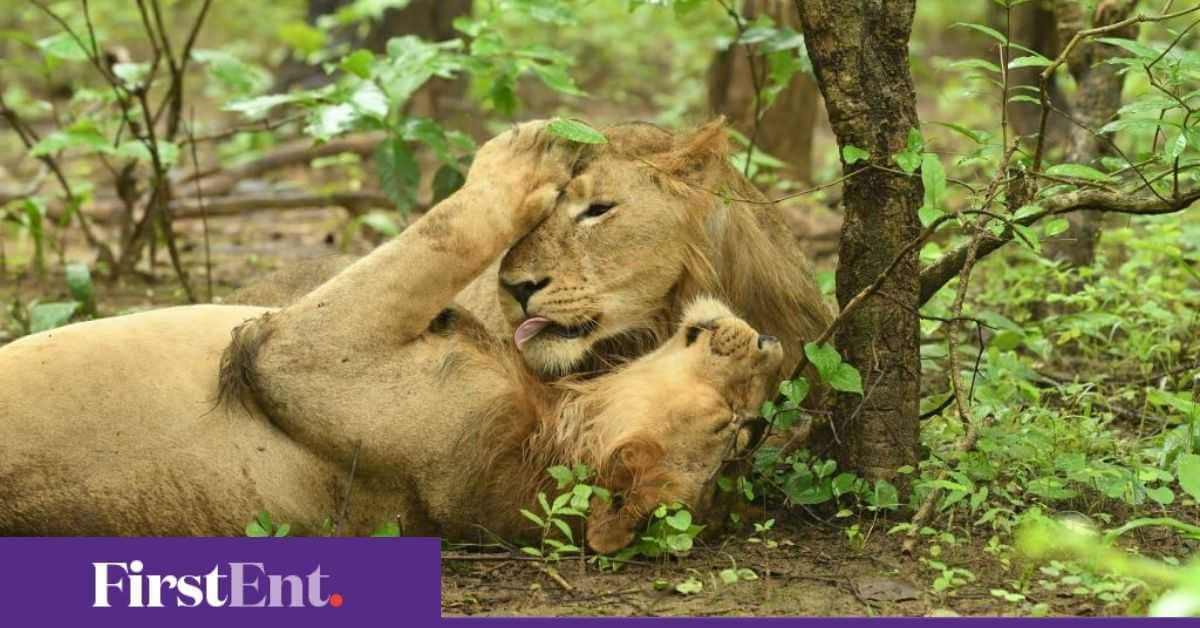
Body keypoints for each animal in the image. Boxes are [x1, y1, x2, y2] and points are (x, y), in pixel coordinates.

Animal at [0, 124, 782, 550]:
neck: (555, 420)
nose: (768, 355)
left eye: (732, 429)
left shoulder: (301, 356)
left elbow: (446, 230)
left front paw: (524, 153)